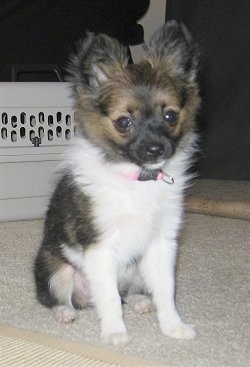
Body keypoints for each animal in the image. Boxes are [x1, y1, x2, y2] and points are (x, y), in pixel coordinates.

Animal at [34, 20, 200, 346]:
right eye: (124, 122)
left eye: (170, 116)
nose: (156, 150)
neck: (137, 179)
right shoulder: (99, 246)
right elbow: (109, 298)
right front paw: (114, 333)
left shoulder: (161, 244)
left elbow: (166, 290)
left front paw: (173, 326)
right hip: (56, 268)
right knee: (60, 297)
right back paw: (65, 312)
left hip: (134, 269)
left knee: (127, 293)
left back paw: (139, 301)